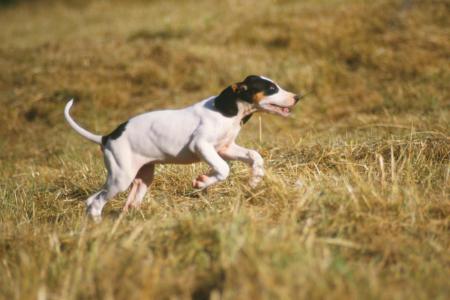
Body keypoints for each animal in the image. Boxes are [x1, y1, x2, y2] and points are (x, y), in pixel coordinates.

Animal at [63, 75, 300, 220]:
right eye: (271, 88)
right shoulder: (201, 145)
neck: (230, 110)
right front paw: (203, 181)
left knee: (113, 201)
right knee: (95, 202)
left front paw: (254, 180)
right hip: (121, 178)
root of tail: (107, 137)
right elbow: (223, 169)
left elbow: (254, 156)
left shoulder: (225, 148)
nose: (297, 97)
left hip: (142, 177)